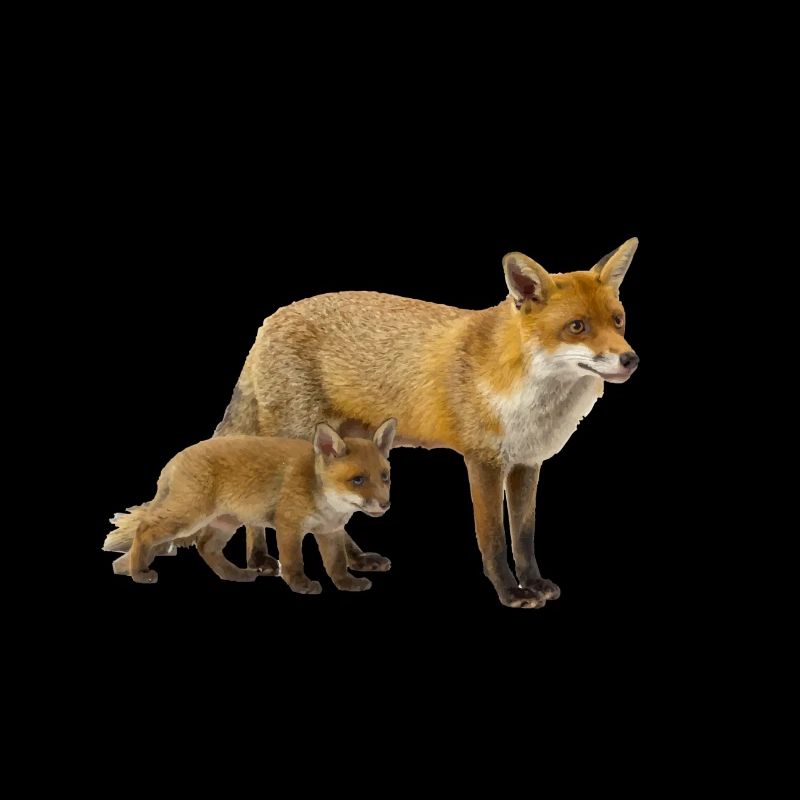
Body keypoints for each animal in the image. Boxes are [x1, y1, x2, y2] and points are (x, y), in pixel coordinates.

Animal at [102, 419, 397, 593]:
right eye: (357, 480)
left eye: (385, 477)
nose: (385, 504)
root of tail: (174, 459)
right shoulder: (288, 526)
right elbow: (293, 561)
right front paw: (300, 584)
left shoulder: (329, 531)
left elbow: (337, 563)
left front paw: (347, 584)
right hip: (188, 517)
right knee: (144, 530)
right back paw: (139, 572)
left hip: (225, 522)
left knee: (206, 548)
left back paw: (235, 575)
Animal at [164, 238, 639, 608]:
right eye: (577, 327)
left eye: (618, 321)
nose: (630, 359)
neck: (524, 390)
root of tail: (269, 319)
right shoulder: (482, 461)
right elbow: (492, 538)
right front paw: (510, 592)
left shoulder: (526, 463)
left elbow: (524, 536)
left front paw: (534, 582)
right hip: (298, 437)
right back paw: (262, 561)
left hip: (346, 443)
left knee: (331, 517)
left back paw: (351, 561)